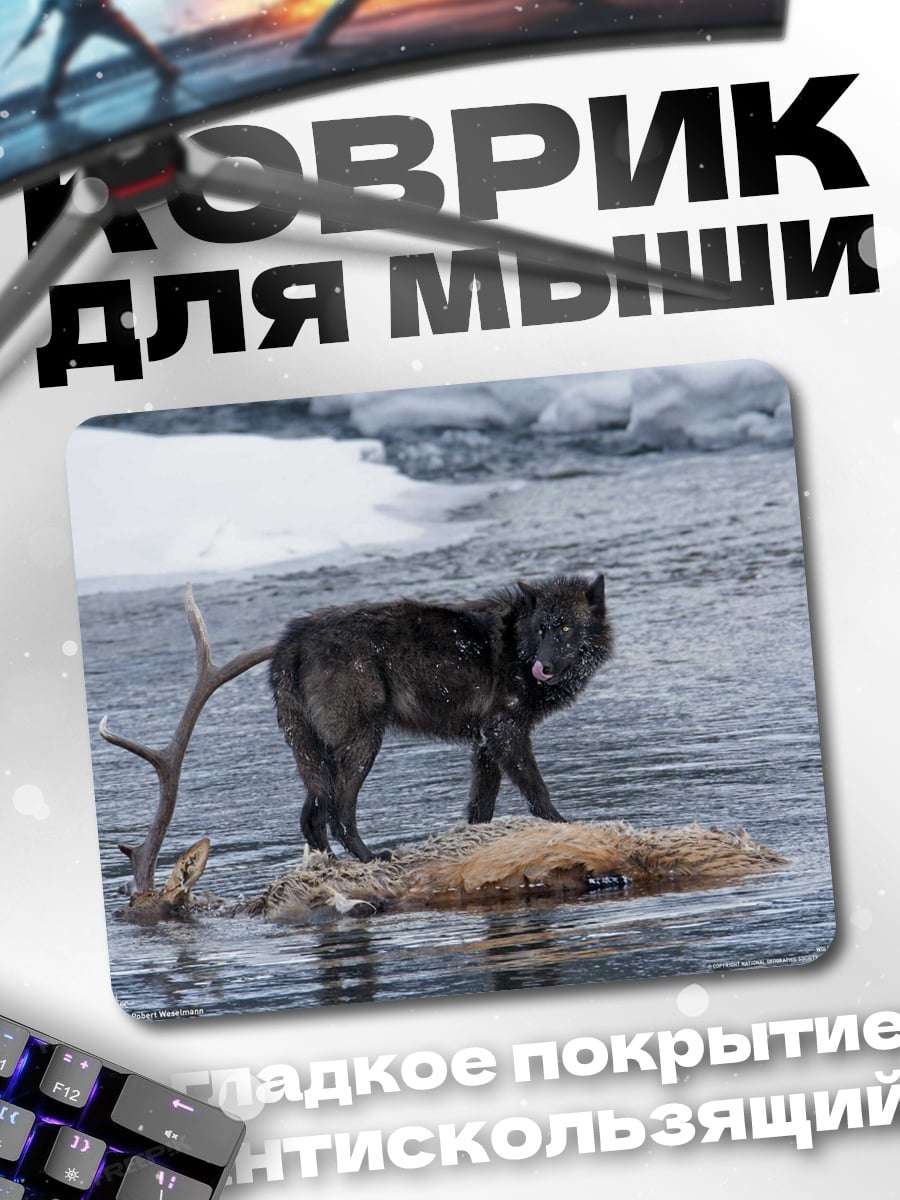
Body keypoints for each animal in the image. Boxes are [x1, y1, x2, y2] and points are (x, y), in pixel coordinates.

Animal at [270, 573, 612, 861]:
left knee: (311, 817)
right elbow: (537, 790)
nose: (543, 667)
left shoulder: (486, 742)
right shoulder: (506, 731)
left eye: (565, 628)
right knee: (338, 814)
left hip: (319, 756)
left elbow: (481, 807)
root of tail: (293, 638)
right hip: (362, 744)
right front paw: (563, 826)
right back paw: (370, 858)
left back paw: (329, 865)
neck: (517, 643)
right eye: (542, 629)